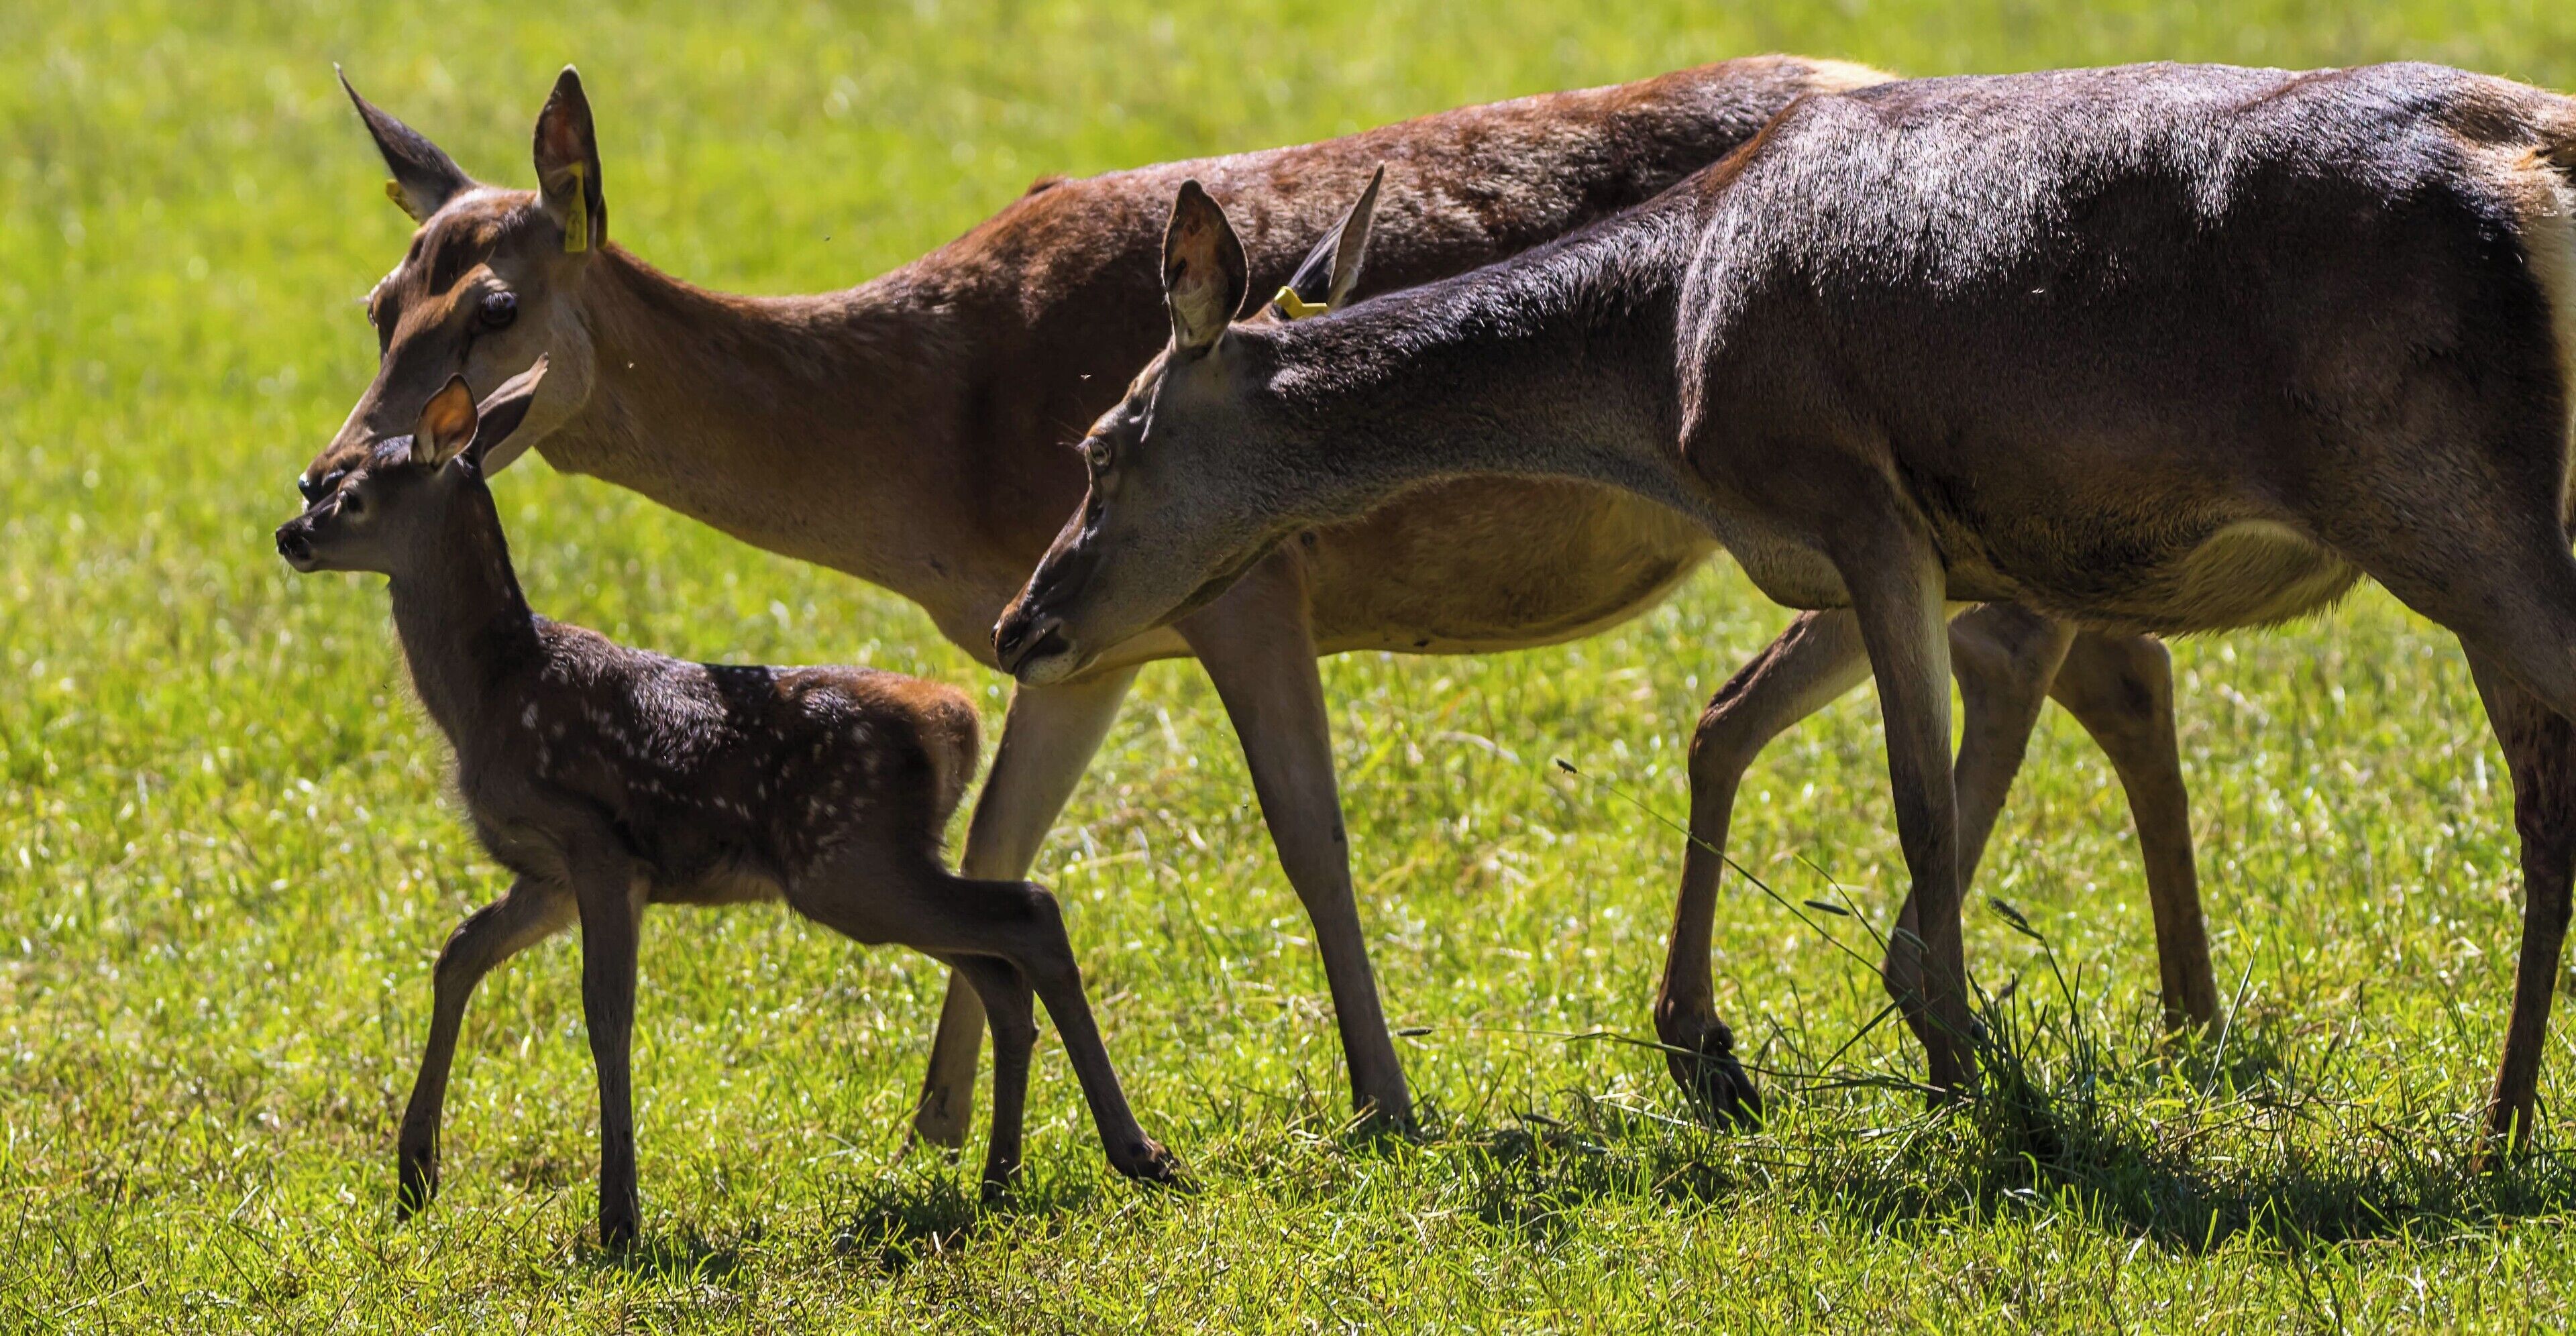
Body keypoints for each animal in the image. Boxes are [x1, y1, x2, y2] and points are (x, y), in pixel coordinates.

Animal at [275, 363, 1177, 1246]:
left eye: (352, 495)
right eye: (329, 487)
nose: (290, 533)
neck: (492, 693)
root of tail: (954, 720)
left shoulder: (600, 846)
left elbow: (606, 1012)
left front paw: (619, 1218)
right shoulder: (547, 874)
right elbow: (458, 952)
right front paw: (415, 1176)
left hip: (849, 861)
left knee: (1031, 915)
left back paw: (1137, 1155)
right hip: (873, 870)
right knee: (1000, 968)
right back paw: (1002, 1178)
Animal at [303, 59, 2212, 1143]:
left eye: (492, 306)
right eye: (379, 296)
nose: (336, 475)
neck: (928, 430)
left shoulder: (1237, 574)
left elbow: (1309, 836)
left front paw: (1385, 1102)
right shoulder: (1072, 636)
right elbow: (1000, 840)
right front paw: (938, 1132)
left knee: (2077, 658)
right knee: (2086, 657)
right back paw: (2161, 1013)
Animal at [994, 61, 2576, 1160]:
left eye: (1103, 445)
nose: (1025, 625)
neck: (1664, 366)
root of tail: (2541, 168)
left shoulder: (1852, 499)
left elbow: (1915, 803)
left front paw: (1961, 1085)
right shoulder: (1894, 550)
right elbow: (1727, 719)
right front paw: (1714, 1047)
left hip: (2439, 494)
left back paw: (2495, 1128)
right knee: (2537, 793)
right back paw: (2500, 1123)